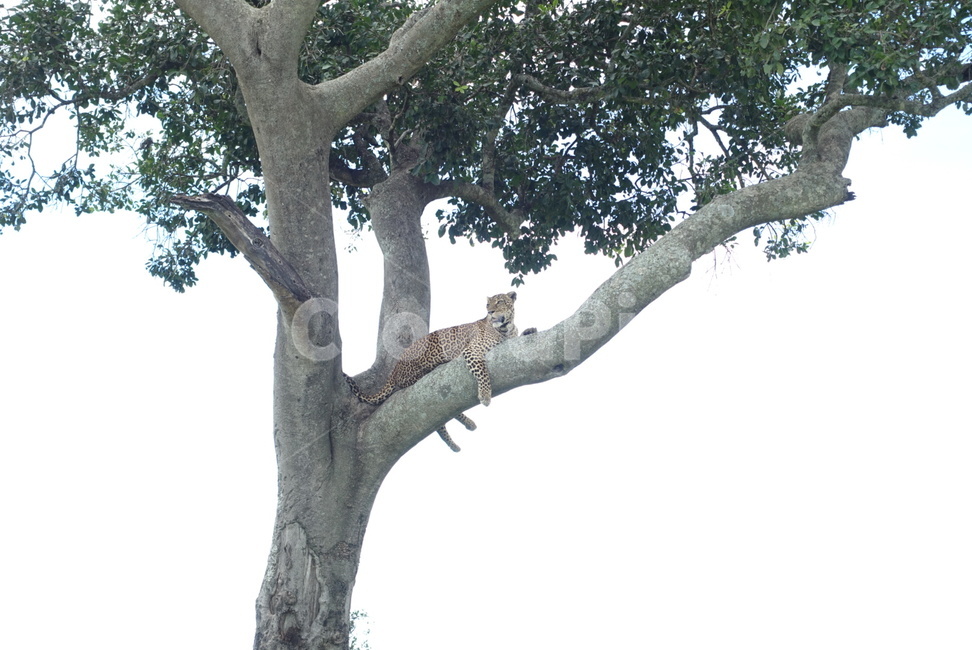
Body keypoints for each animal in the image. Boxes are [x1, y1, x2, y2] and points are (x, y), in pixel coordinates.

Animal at [345, 291, 536, 452]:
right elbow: (482, 371)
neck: (506, 328)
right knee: (439, 419)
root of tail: (394, 369)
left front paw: (530, 330)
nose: (490, 312)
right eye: (487, 305)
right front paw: (485, 396)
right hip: (418, 375)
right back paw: (461, 433)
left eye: (500, 302)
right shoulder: (472, 351)